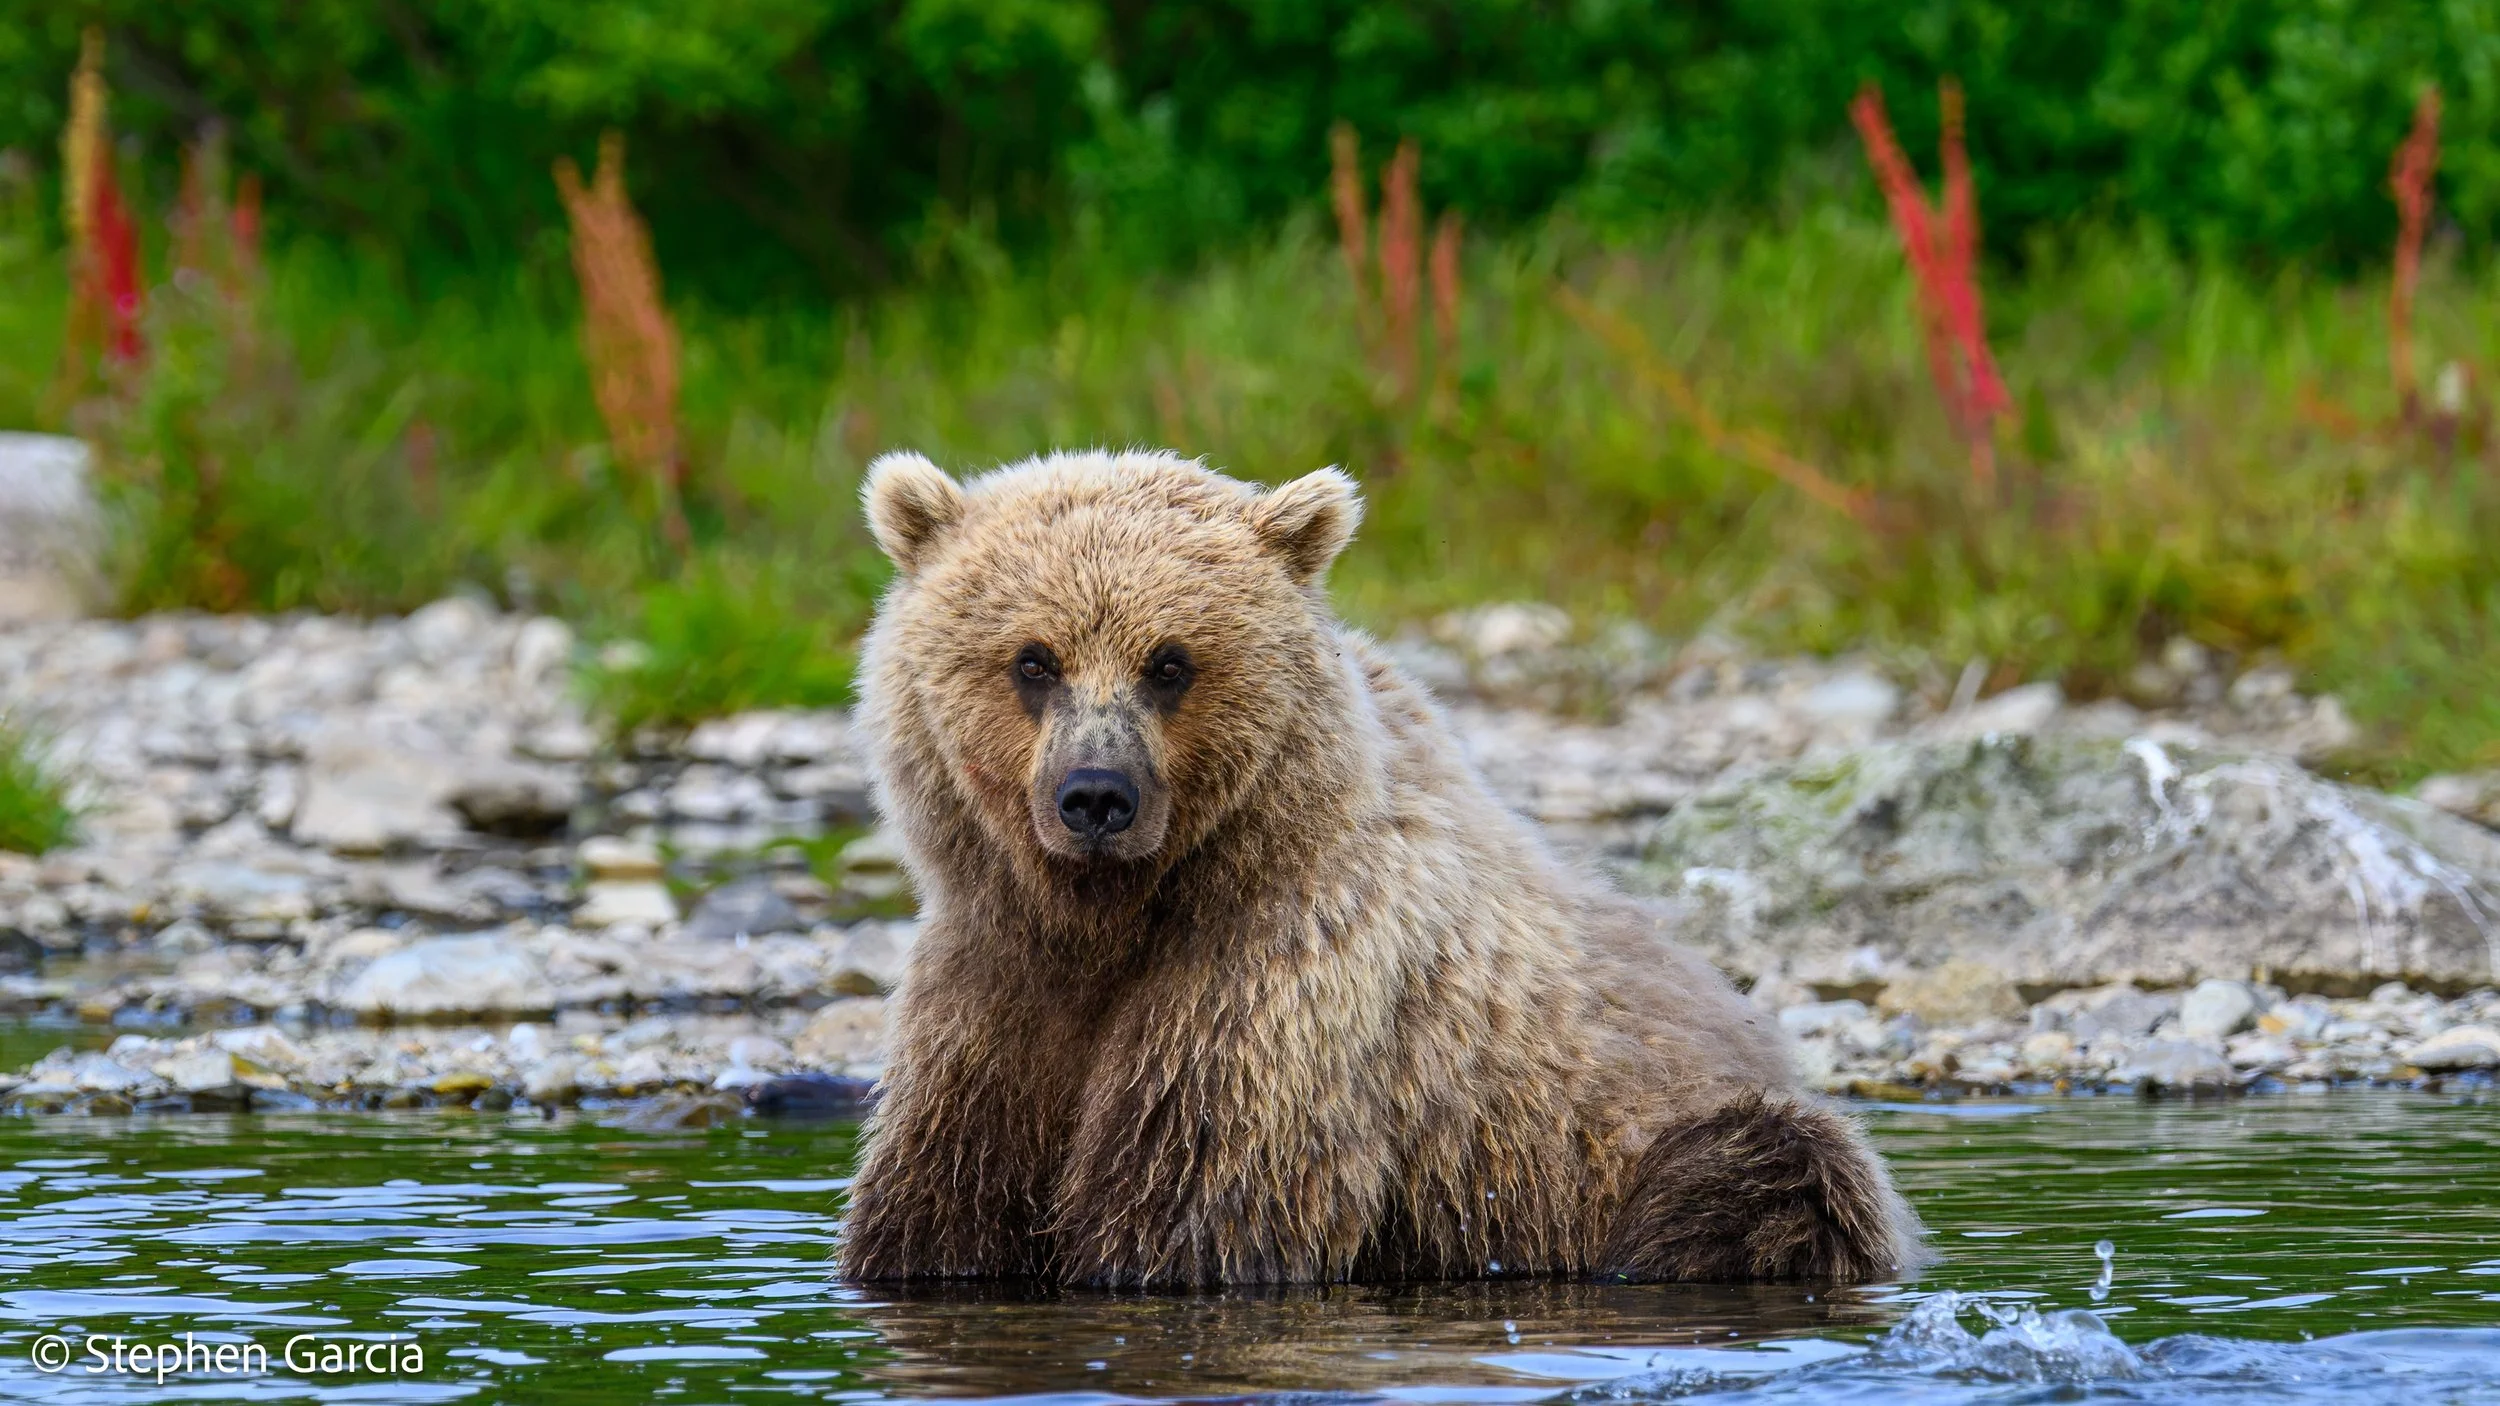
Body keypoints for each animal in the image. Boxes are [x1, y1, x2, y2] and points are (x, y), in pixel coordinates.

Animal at [837, 447, 1923, 1288]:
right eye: (1033, 658)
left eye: (1169, 661)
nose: (1097, 795)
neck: (1114, 915)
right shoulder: (992, 986)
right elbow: (939, 1200)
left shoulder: (1278, 990)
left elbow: (1190, 1204)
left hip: (1642, 1140)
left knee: (1771, 1172)